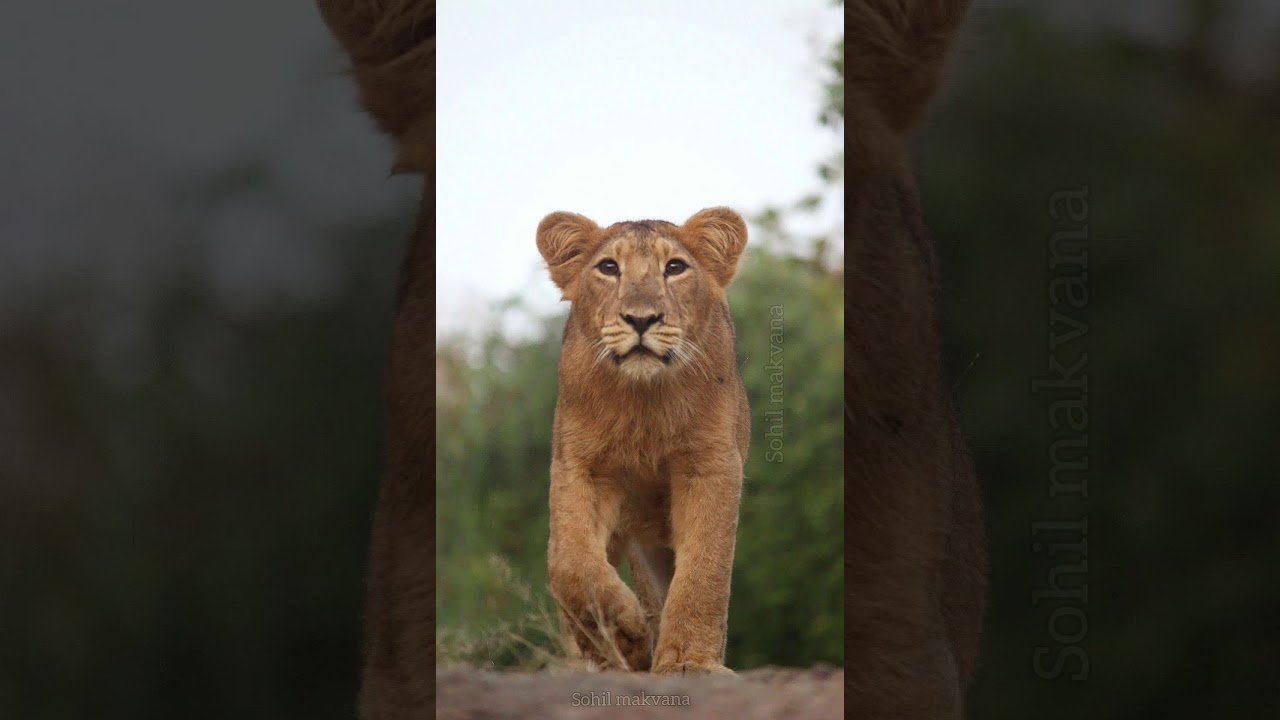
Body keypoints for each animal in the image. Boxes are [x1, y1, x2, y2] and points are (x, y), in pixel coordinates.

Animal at [535, 208, 751, 675]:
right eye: (608, 267)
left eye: (675, 267)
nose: (640, 319)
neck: (644, 402)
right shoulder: (581, 464)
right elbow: (570, 564)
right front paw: (624, 637)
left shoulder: (711, 463)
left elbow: (705, 567)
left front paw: (689, 662)